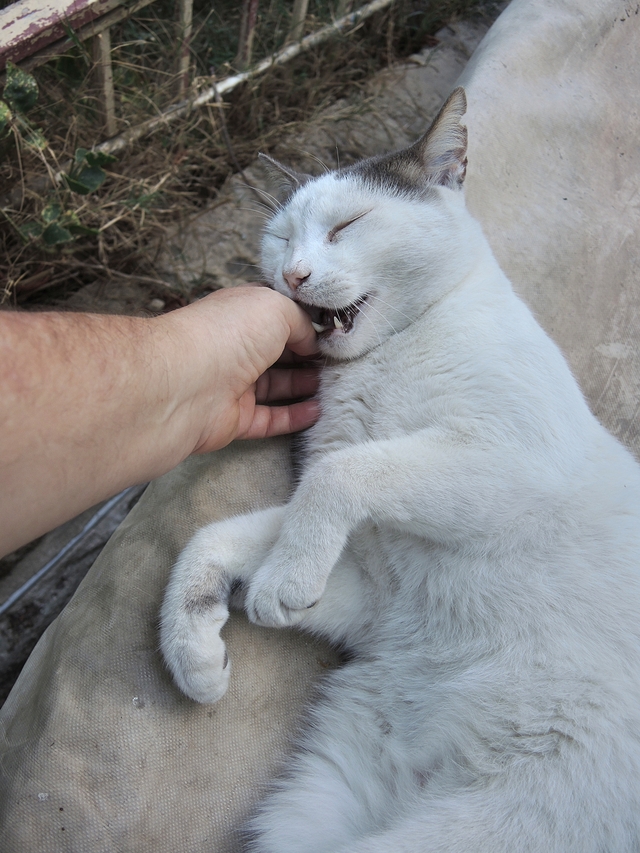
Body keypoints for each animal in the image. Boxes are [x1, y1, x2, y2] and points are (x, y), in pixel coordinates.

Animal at [159, 90, 640, 848]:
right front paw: (199, 647)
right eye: (280, 238)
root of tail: (422, 773)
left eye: (346, 225)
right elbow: (217, 534)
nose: (292, 276)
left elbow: (345, 472)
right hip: (311, 810)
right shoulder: (375, 595)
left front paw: (280, 579)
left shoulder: (511, 464)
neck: (380, 363)